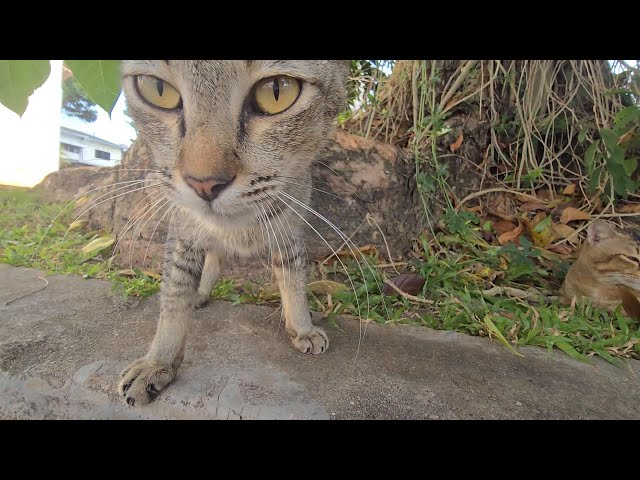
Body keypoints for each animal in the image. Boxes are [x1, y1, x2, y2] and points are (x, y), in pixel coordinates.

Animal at [115, 60, 350, 404]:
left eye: (277, 91)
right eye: (157, 89)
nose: (204, 183)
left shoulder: (289, 234)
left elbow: (294, 284)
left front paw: (302, 327)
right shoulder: (183, 235)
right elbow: (174, 297)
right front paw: (158, 362)